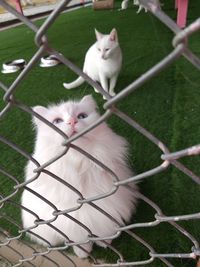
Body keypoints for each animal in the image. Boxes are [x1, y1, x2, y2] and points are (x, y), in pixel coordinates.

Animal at [21, 95, 138, 258]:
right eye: (57, 121)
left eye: (82, 116)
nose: (72, 121)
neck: (79, 165)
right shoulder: (69, 221)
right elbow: (79, 240)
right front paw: (83, 253)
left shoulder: (106, 209)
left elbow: (102, 231)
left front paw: (104, 243)